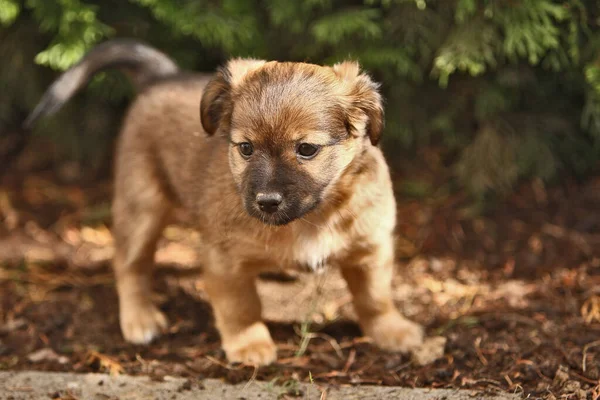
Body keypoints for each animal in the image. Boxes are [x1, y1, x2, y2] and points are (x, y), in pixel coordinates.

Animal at [27, 38, 422, 366]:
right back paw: (139, 318)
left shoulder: (371, 249)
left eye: (307, 149)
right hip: (141, 206)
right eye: (245, 148)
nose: (266, 202)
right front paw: (249, 344)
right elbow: (241, 307)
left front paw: (392, 330)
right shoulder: (225, 261)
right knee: (130, 264)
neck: (314, 217)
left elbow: (375, 297)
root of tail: (163, 76)